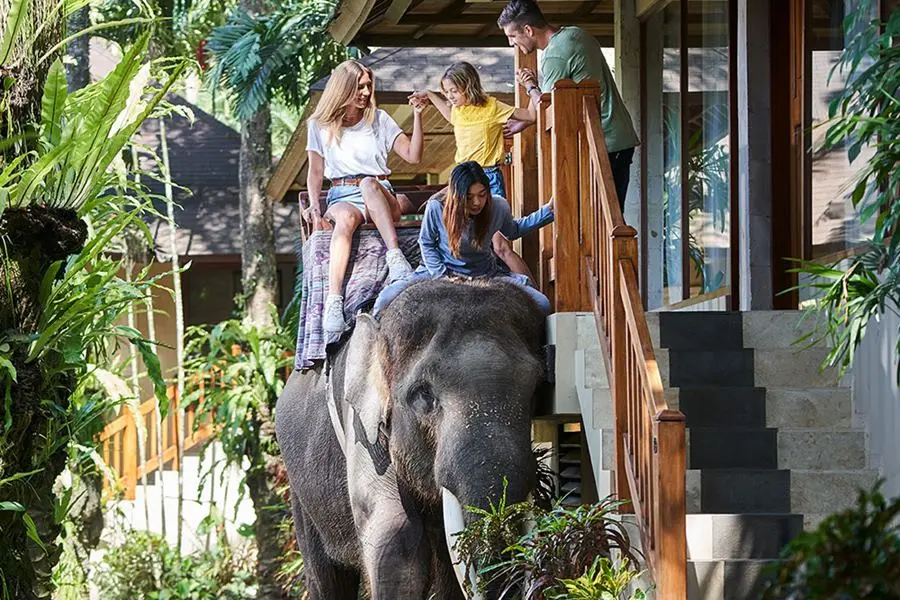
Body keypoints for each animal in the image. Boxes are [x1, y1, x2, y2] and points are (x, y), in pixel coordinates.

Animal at [275, 277, 548, 599]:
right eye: (423, 394)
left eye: (537, 387)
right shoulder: (362, 431)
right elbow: (395, 534)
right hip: (300, 489)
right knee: (325, 577)